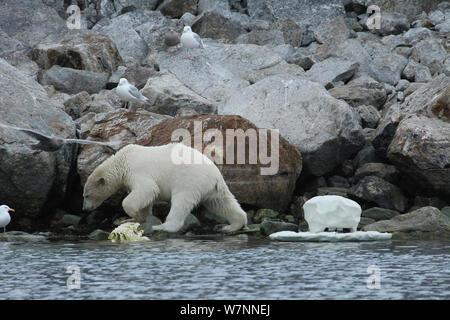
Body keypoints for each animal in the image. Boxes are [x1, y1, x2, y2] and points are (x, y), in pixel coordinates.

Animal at [82, 144, 248, 232]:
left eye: (86, 195)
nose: (84, 209)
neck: (122, 162)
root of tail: (215, 175)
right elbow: (147, 199)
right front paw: (136, 218)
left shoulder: (137, 171)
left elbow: (147, 189)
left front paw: (131, 214)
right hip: (213, 189)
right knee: (223, 203)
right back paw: (232, 226)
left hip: (188, 181)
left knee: (180, 203)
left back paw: (162, 227)